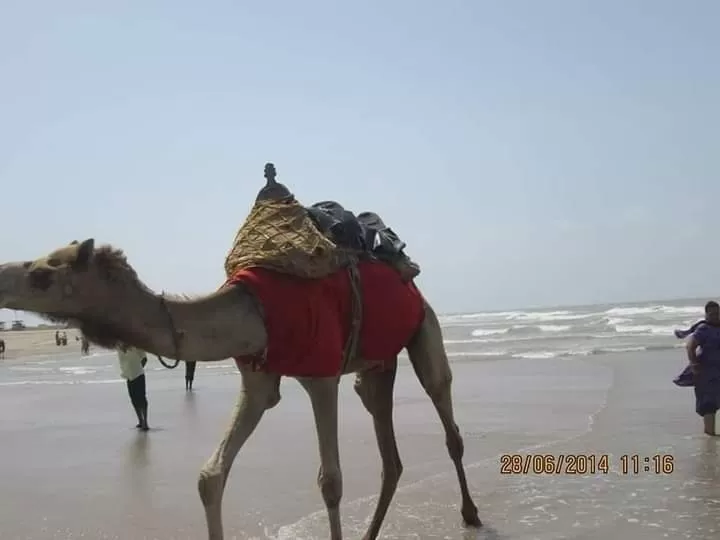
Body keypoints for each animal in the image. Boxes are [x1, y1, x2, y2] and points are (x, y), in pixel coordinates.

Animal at [1, 239, 484, 540]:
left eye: (42, 274)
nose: (4, 274)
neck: (255, 313)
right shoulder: (258, 378)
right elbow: (210, 477)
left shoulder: (321, 372)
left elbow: (330, 482)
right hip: (376, 366)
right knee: (389, 450)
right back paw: (371, 531)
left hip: (424, 326)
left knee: (445, 412)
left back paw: (471, 514)